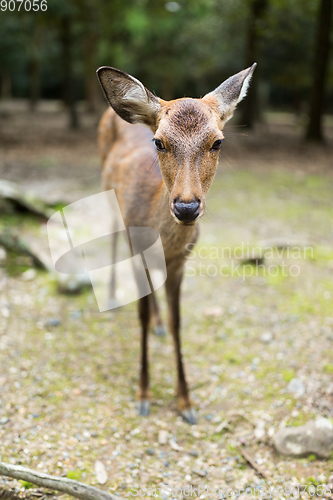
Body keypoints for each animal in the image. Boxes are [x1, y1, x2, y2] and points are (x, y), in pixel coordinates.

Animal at [94, 60, 255, 424]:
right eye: (159, 142)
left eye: (218, 142)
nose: (186, 206)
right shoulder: (137, 249)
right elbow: (139, 316)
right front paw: (143, 393)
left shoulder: (181, 262)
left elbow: (178, 321)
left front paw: (186, 401)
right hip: (109, 196)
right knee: (112, 234)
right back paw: (111, 295)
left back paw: (158, 324)